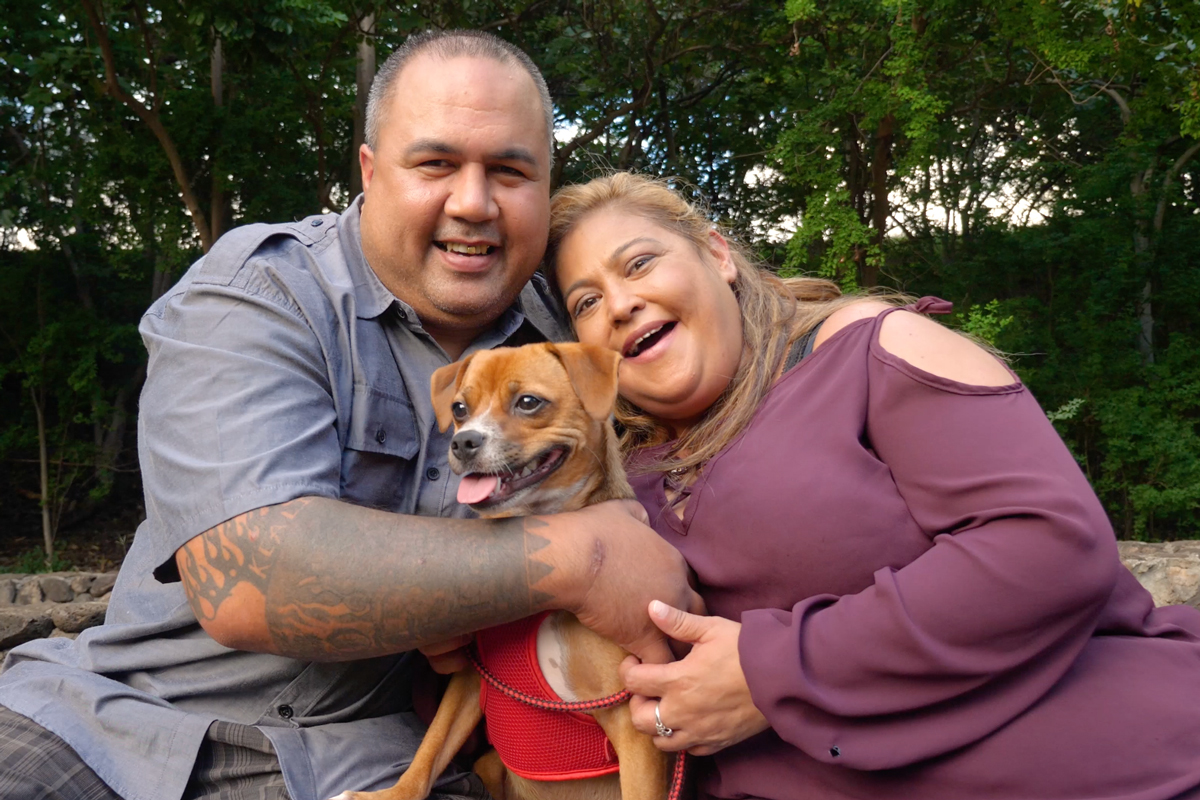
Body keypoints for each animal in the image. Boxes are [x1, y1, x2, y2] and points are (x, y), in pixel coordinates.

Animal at [333, 343, 672, 800]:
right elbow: (430, 751)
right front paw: (391, 795)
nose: (464, 441)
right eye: (459, 408)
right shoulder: (470, 682)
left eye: (528, 402)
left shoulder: (636, 726)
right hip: (488, 763)